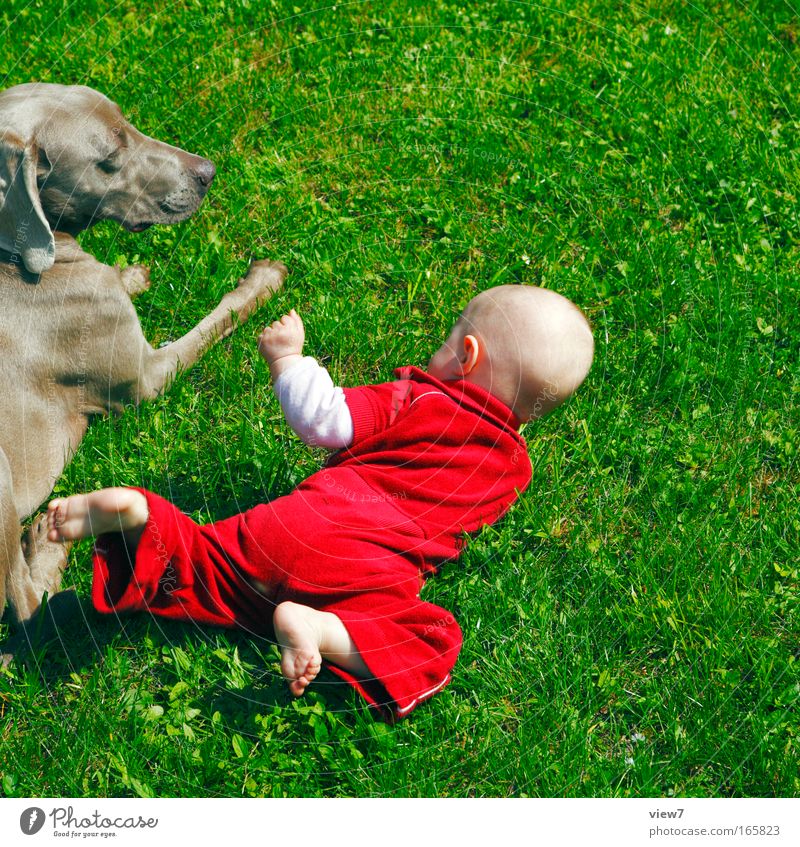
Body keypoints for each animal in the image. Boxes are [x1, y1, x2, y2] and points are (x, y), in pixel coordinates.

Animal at [0, 84, 288, 628]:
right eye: (109, 159)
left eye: (128, 123)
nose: (207, 172)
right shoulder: (146, 376)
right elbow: (214, 321)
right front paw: (263, 280)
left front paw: (131, 274)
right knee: (26, 612)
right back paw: (50, 549)